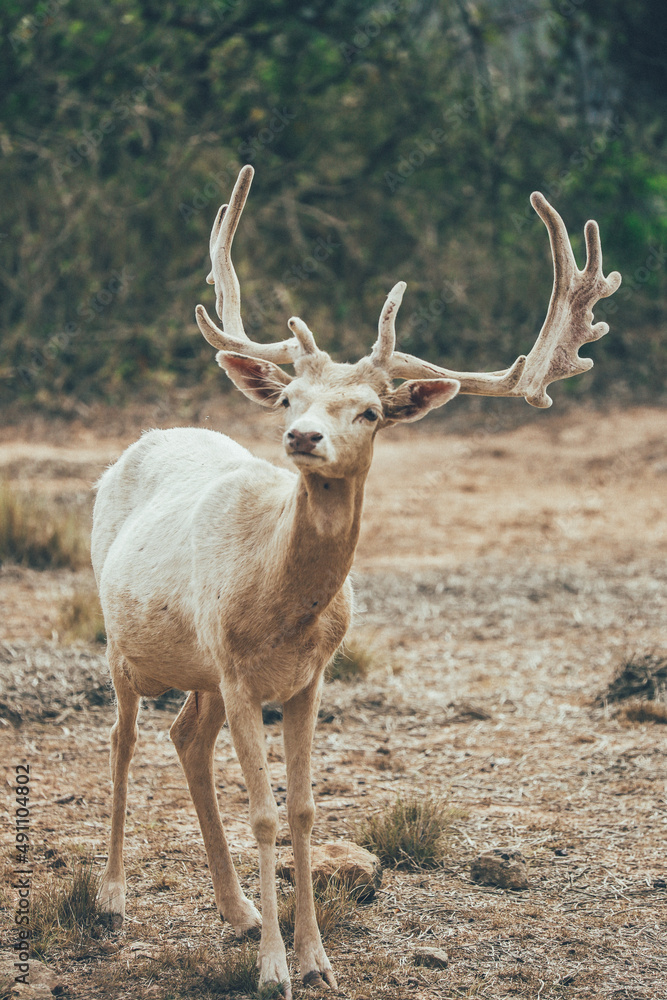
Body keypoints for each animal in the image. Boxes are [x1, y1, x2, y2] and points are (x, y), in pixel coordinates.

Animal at [92, 164, 620, 992]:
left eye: (370, 410)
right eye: (287, 396)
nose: (301, 436)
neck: (281, 603)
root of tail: (143, 440)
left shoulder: (307, 676)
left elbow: (303, 810)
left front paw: (315, 960)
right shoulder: (239, 671)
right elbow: (264, 813)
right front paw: (274, 971)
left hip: (198, 670)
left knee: (184, 737)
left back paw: (237, 911)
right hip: (124, 640)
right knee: (120, 738)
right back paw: (113, 898)